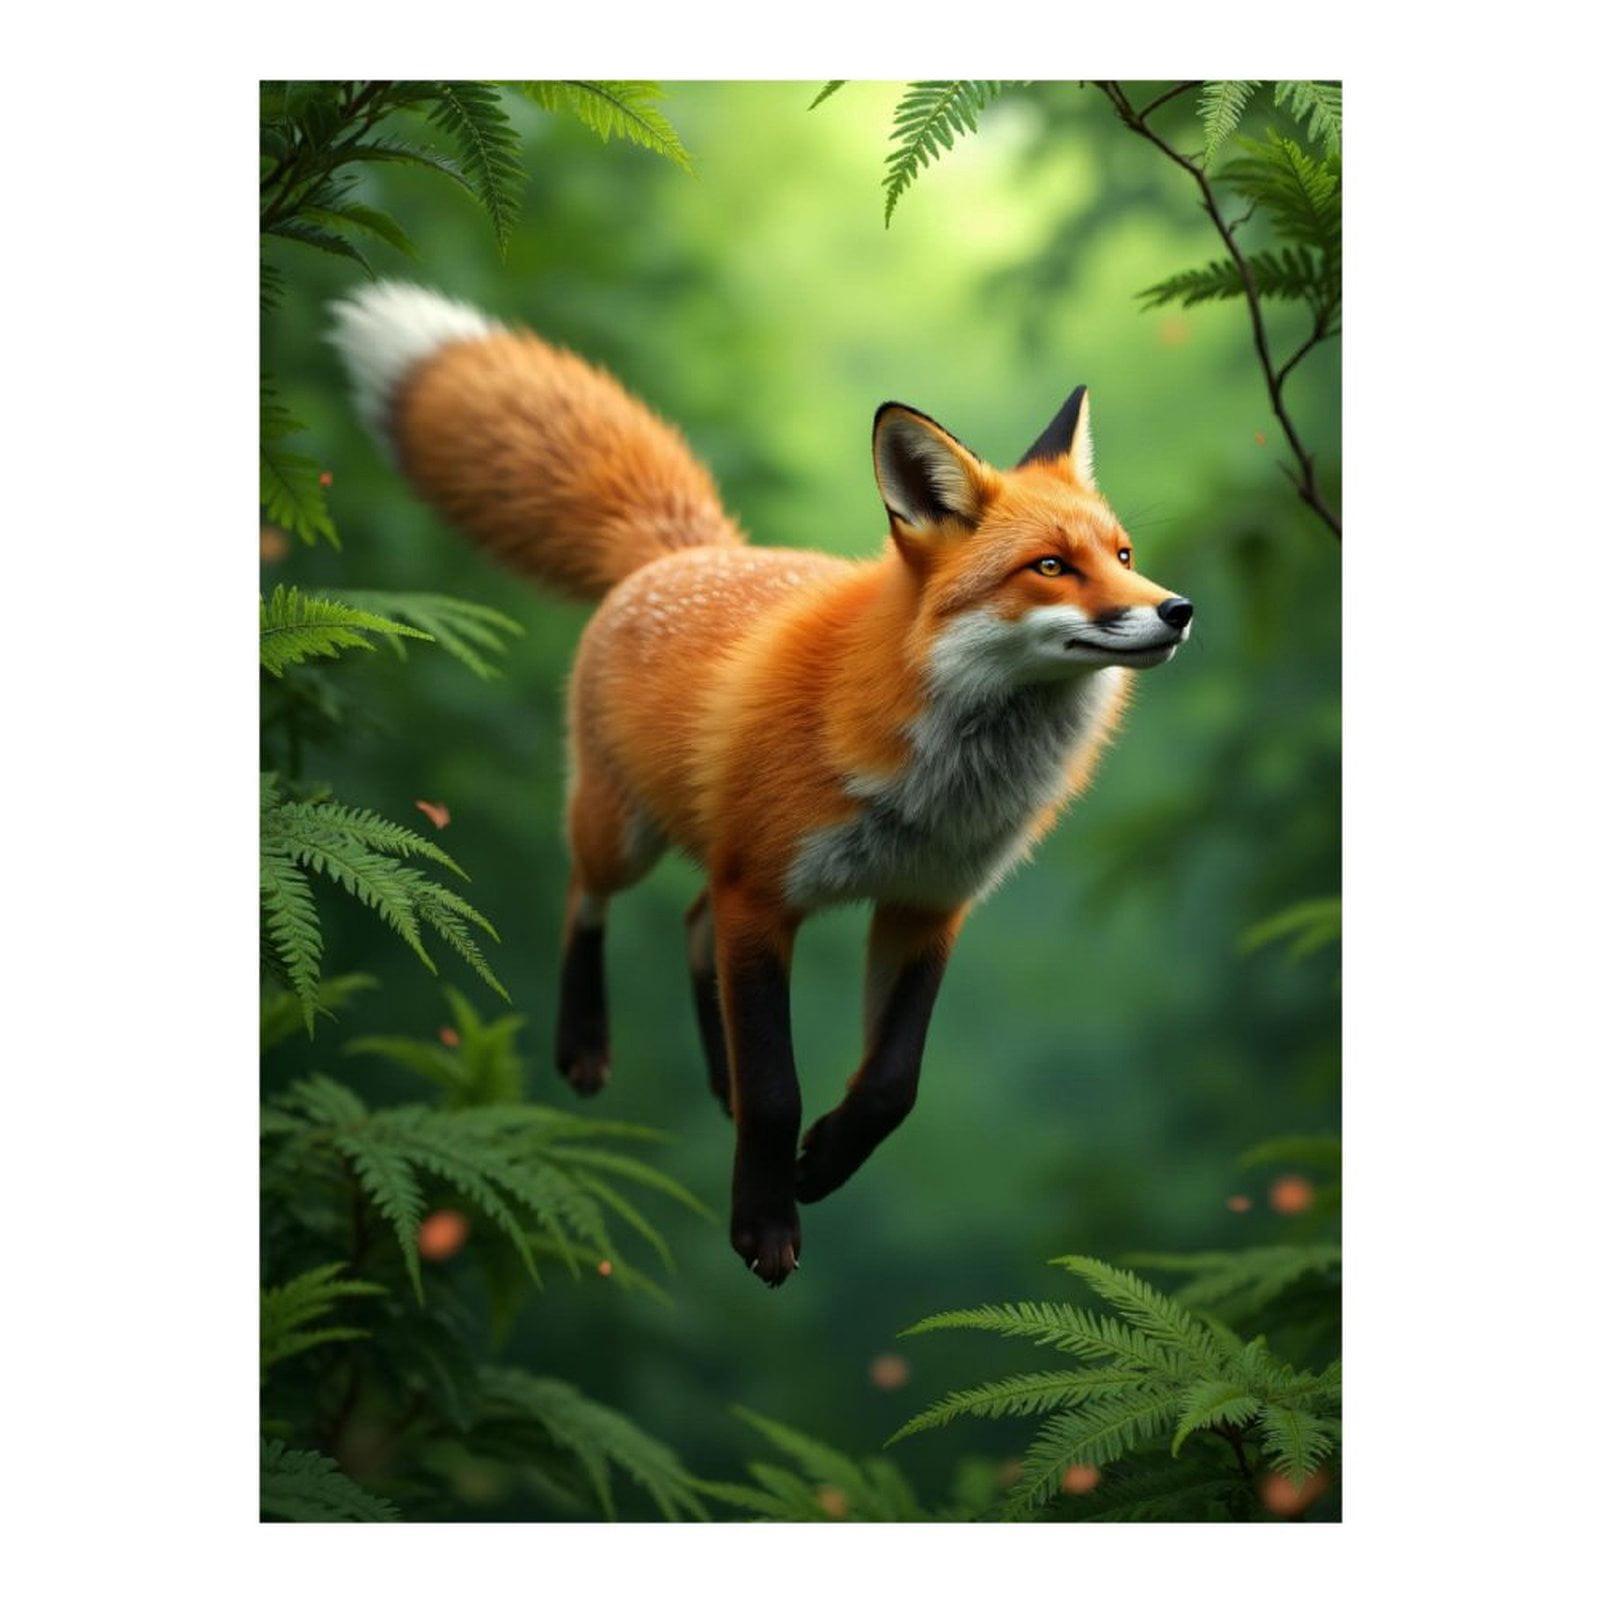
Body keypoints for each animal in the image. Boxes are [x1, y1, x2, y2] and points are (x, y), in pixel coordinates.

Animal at [327, 282, 1194, 1288]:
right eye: (1051, 567)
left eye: (1124, 557)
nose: (1178, 610)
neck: (941, 778)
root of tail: (684, 549)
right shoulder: (762, 895)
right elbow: (778, 1090)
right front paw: (766, 1225)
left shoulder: (927, 904)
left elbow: (892, 1085)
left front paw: (821, 1161)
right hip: (626, 836)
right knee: (588, 895)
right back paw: (585, 1042)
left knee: (690, 927)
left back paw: (719, 1081)